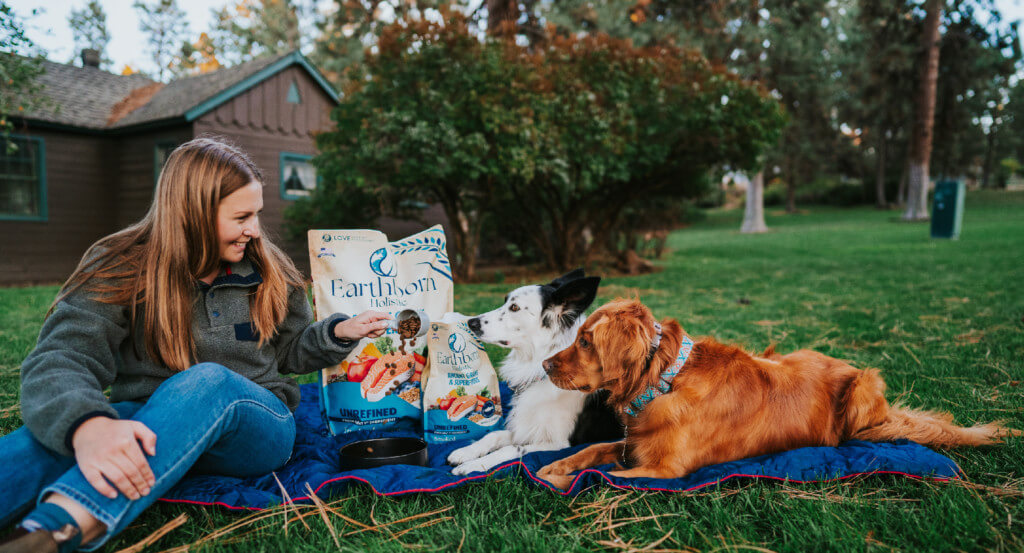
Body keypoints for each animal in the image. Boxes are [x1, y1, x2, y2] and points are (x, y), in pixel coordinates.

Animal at [448, 268, 622, 475]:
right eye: (505, 301)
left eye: (514, 308)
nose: (471, 322)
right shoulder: (527, 427)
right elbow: (495, 435)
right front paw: (465, 453)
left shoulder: (559, 443)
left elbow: (512, 448)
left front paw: (473, 465)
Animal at [536, 299, 1015, 487]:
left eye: (585, 342)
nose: (544, 365)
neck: (663, 380)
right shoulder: (632, 445)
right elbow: (592, 452)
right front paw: (554, 467)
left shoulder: (665, 470)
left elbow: (606, 475)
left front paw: (559, 478)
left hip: (864, 389)